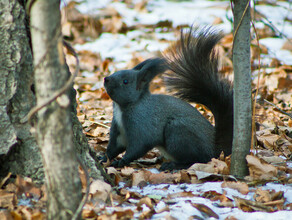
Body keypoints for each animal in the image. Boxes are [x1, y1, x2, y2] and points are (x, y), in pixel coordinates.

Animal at [102, 26, 233, 170]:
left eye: (125, 82)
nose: (106, 79)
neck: (124, 107)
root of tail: (215, 149)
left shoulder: (142, 124)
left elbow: (138, 147)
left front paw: (122, 161)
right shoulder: (119, 130)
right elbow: (115, 147)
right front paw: (104, 157)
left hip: (178, 132)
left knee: (198, 159)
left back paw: (173, 165)